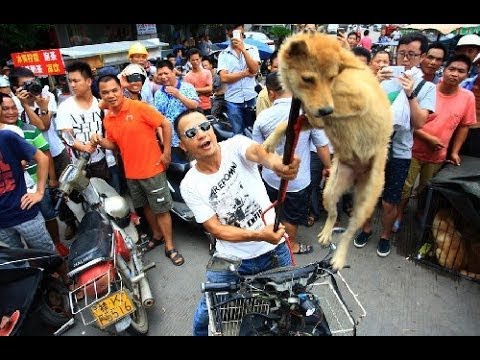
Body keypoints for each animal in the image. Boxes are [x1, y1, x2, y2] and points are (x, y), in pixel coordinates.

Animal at [262, 33, 394, 270]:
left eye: (331, 77)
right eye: (308, 79)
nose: (324, 110)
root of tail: (357, 174)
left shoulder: (358, 100)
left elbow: (330, 108)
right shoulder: (309, 114)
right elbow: (286, 124)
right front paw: (270, 142)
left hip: (364, 204)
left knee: (349, 232)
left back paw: (339, 258)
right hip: (329, 191)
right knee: (333, 214)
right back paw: (325, 234)